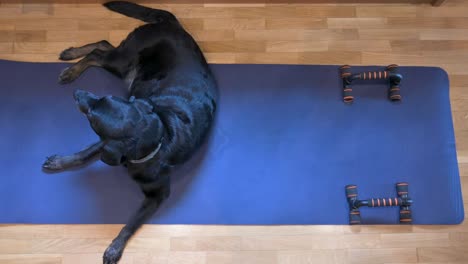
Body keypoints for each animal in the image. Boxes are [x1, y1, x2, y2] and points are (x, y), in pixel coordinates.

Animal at [42, 1, 218, 262]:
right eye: (102, 97)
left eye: (91, 115)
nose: (78, 95)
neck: (160, 136)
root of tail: (172, 24)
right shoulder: (104, 143)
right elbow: (82, 154)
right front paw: (60, 162)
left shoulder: (156, 194)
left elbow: (131, 223)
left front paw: (115, 247)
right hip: (123, 60)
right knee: (100, 50)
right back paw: (71, 64)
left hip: (122, 63)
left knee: (102, 48)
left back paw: (72, 62)